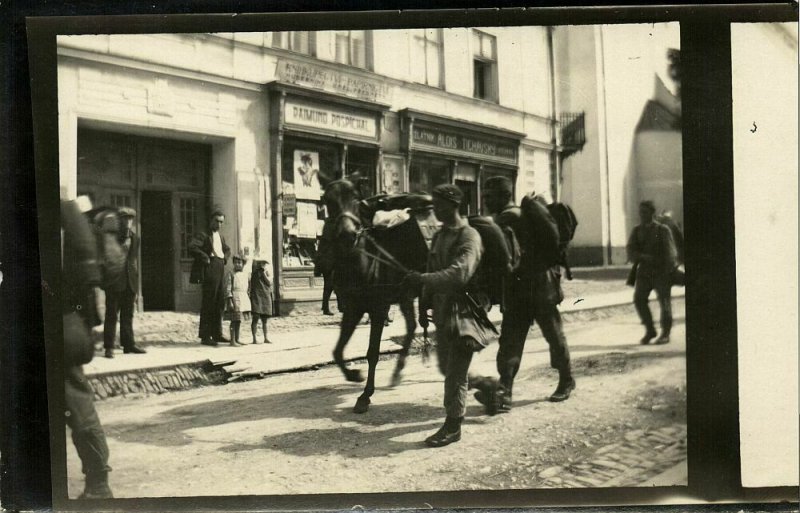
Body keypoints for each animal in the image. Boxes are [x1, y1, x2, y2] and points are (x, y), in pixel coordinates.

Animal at [322, 180, 432, 412]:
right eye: (328, 200)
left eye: (356, 199)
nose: (347, 234)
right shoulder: (353, 309)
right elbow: (337, 350)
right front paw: (354, 375)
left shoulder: (379, 309)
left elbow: (373, 352)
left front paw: (365, 396)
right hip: (405, 295)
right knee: (411, 327)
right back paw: (397, 372)